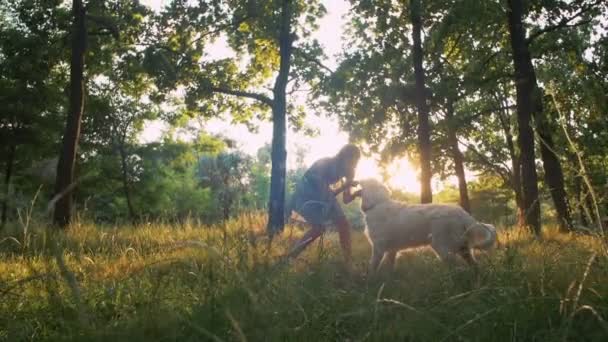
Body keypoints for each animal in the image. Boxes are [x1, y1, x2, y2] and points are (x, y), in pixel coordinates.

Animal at [356, 179, 494, 272]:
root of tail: (463, 213)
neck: (377, 203)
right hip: (463, 248)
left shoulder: (379, 248)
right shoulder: (392, 250)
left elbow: (372, 267)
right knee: (474, 266)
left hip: (443, 248)